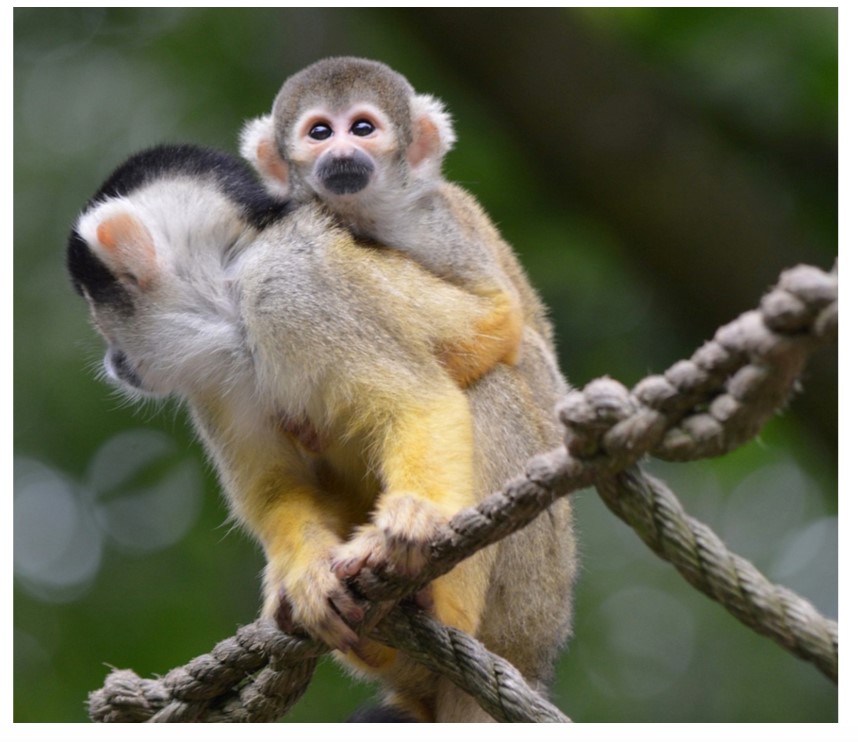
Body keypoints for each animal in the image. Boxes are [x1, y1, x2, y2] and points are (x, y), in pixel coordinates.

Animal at [67, 144, 576, 720]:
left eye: (100, 313)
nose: (113, 360)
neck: (231, 291)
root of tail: (535, 656)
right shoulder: (212, 377)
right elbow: (278, 487)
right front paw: (307, 576)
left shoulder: (291, 289)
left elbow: (419, 402)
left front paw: (414, 520)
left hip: (532, 598)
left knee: (488, 385)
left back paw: (444, 608)